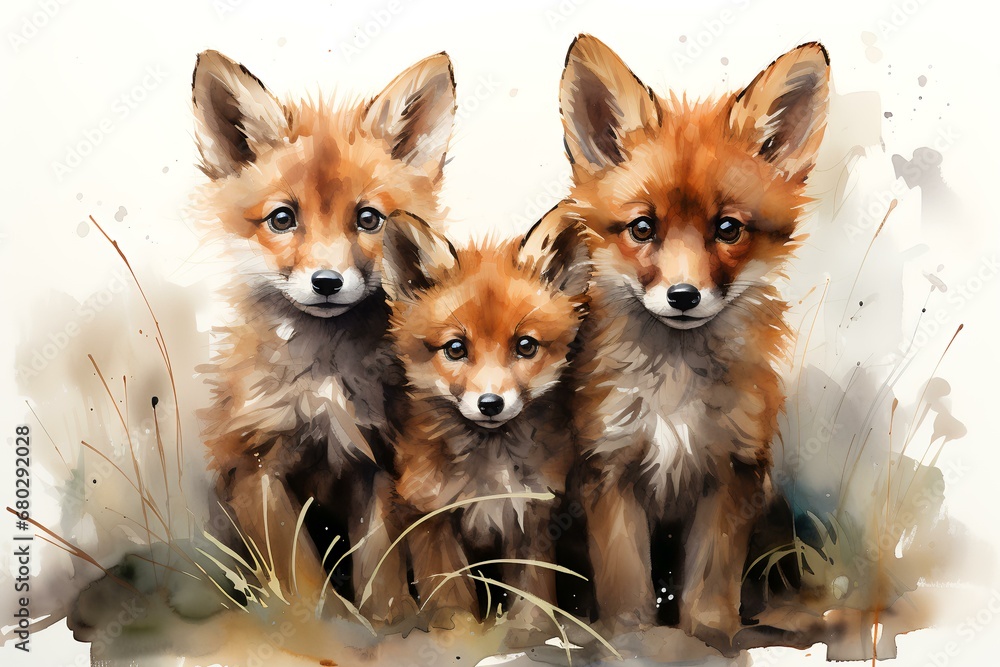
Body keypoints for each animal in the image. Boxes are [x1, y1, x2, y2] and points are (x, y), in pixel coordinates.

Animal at [191, 49, 456, 623]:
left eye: (369, 219)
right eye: (283, 219)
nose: (327, 282)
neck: (324, 383)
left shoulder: (377, 461)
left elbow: (381, 572)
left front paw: (390, 625)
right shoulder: (256, 465)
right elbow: (303, 577)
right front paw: (320, 627)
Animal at [377, 210, 592, 628]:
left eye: (525, 345)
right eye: (455, 348)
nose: (490, 403)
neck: (488, 475)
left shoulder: (531, 520)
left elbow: (534, 600)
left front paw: (530, 635)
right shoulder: (430, 518)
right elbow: (453, 604)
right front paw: (461, 636)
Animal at [551, 35, 831, 648]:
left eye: (727, 229)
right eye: (643, 228)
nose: (683, 295)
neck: (673, 394)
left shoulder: (732, 474)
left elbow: (710, 589)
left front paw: (709, 639)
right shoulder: (609, 472)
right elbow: (627, 588)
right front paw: (632, 643)